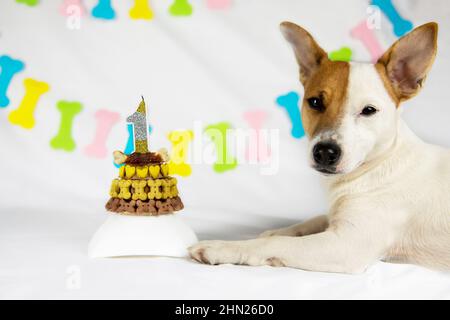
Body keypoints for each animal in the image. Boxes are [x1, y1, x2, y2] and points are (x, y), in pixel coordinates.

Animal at [188, 21, 448, 274]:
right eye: (315, 102)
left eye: (369, 110)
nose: (324, 152)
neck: (380, 162)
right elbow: (314, 219)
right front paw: (280, 230)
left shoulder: (347, 245)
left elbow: (276, 244)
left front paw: (223, 247)